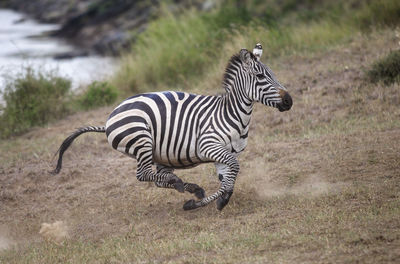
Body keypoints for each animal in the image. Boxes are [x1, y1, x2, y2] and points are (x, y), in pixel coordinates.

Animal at [52, 45, 290, 210]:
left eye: (272, 73)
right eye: (260, 76)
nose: (289, 101)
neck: (231, 113)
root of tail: (110, 118)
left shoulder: (222, 155)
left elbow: (228, 179)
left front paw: (220, 199)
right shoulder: (209, 146)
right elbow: (233, 170)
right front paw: (206, 203)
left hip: (161, 154)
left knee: (157, 178)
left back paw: (188, 187)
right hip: (142, 140)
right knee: (143, 174)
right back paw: (181, 183)